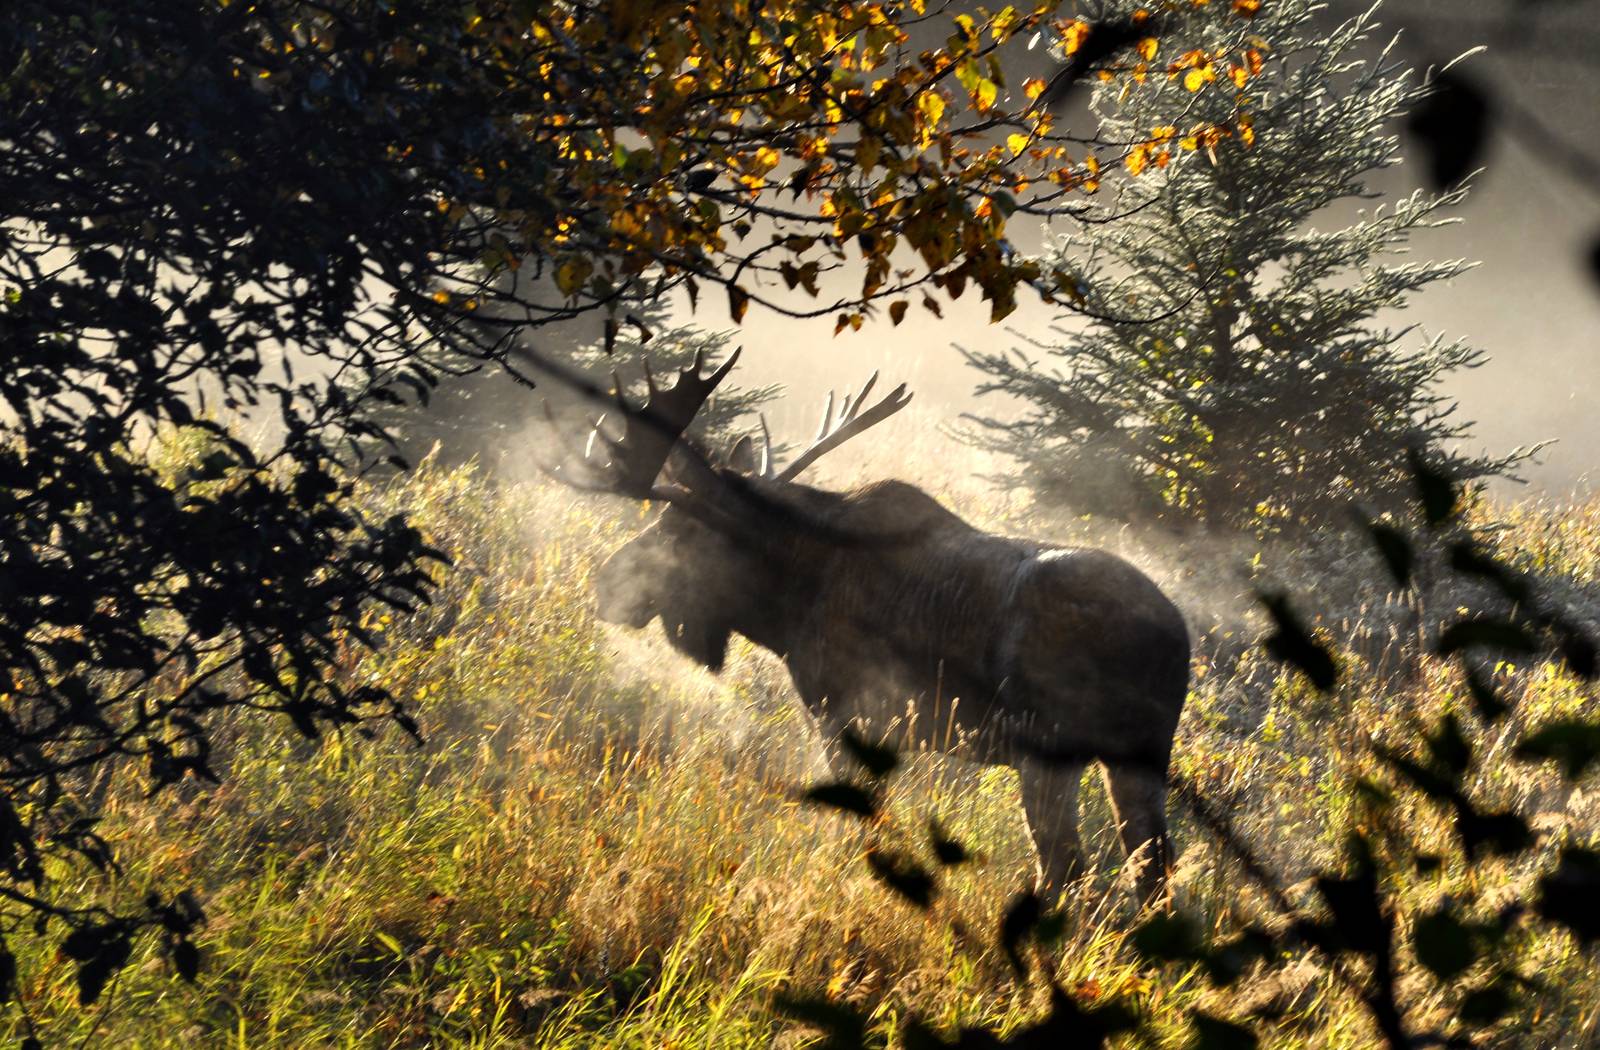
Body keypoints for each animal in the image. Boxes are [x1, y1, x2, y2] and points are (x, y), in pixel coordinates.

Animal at [545, 350, 1190, 906]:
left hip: (1051, 748)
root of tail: (1175, 638)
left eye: (677, 530)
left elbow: (866, 829)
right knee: (1151, 865)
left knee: (1067, 866)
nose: (605, 585)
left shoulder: (842, 713)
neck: (787, 598)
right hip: (1140, 755)